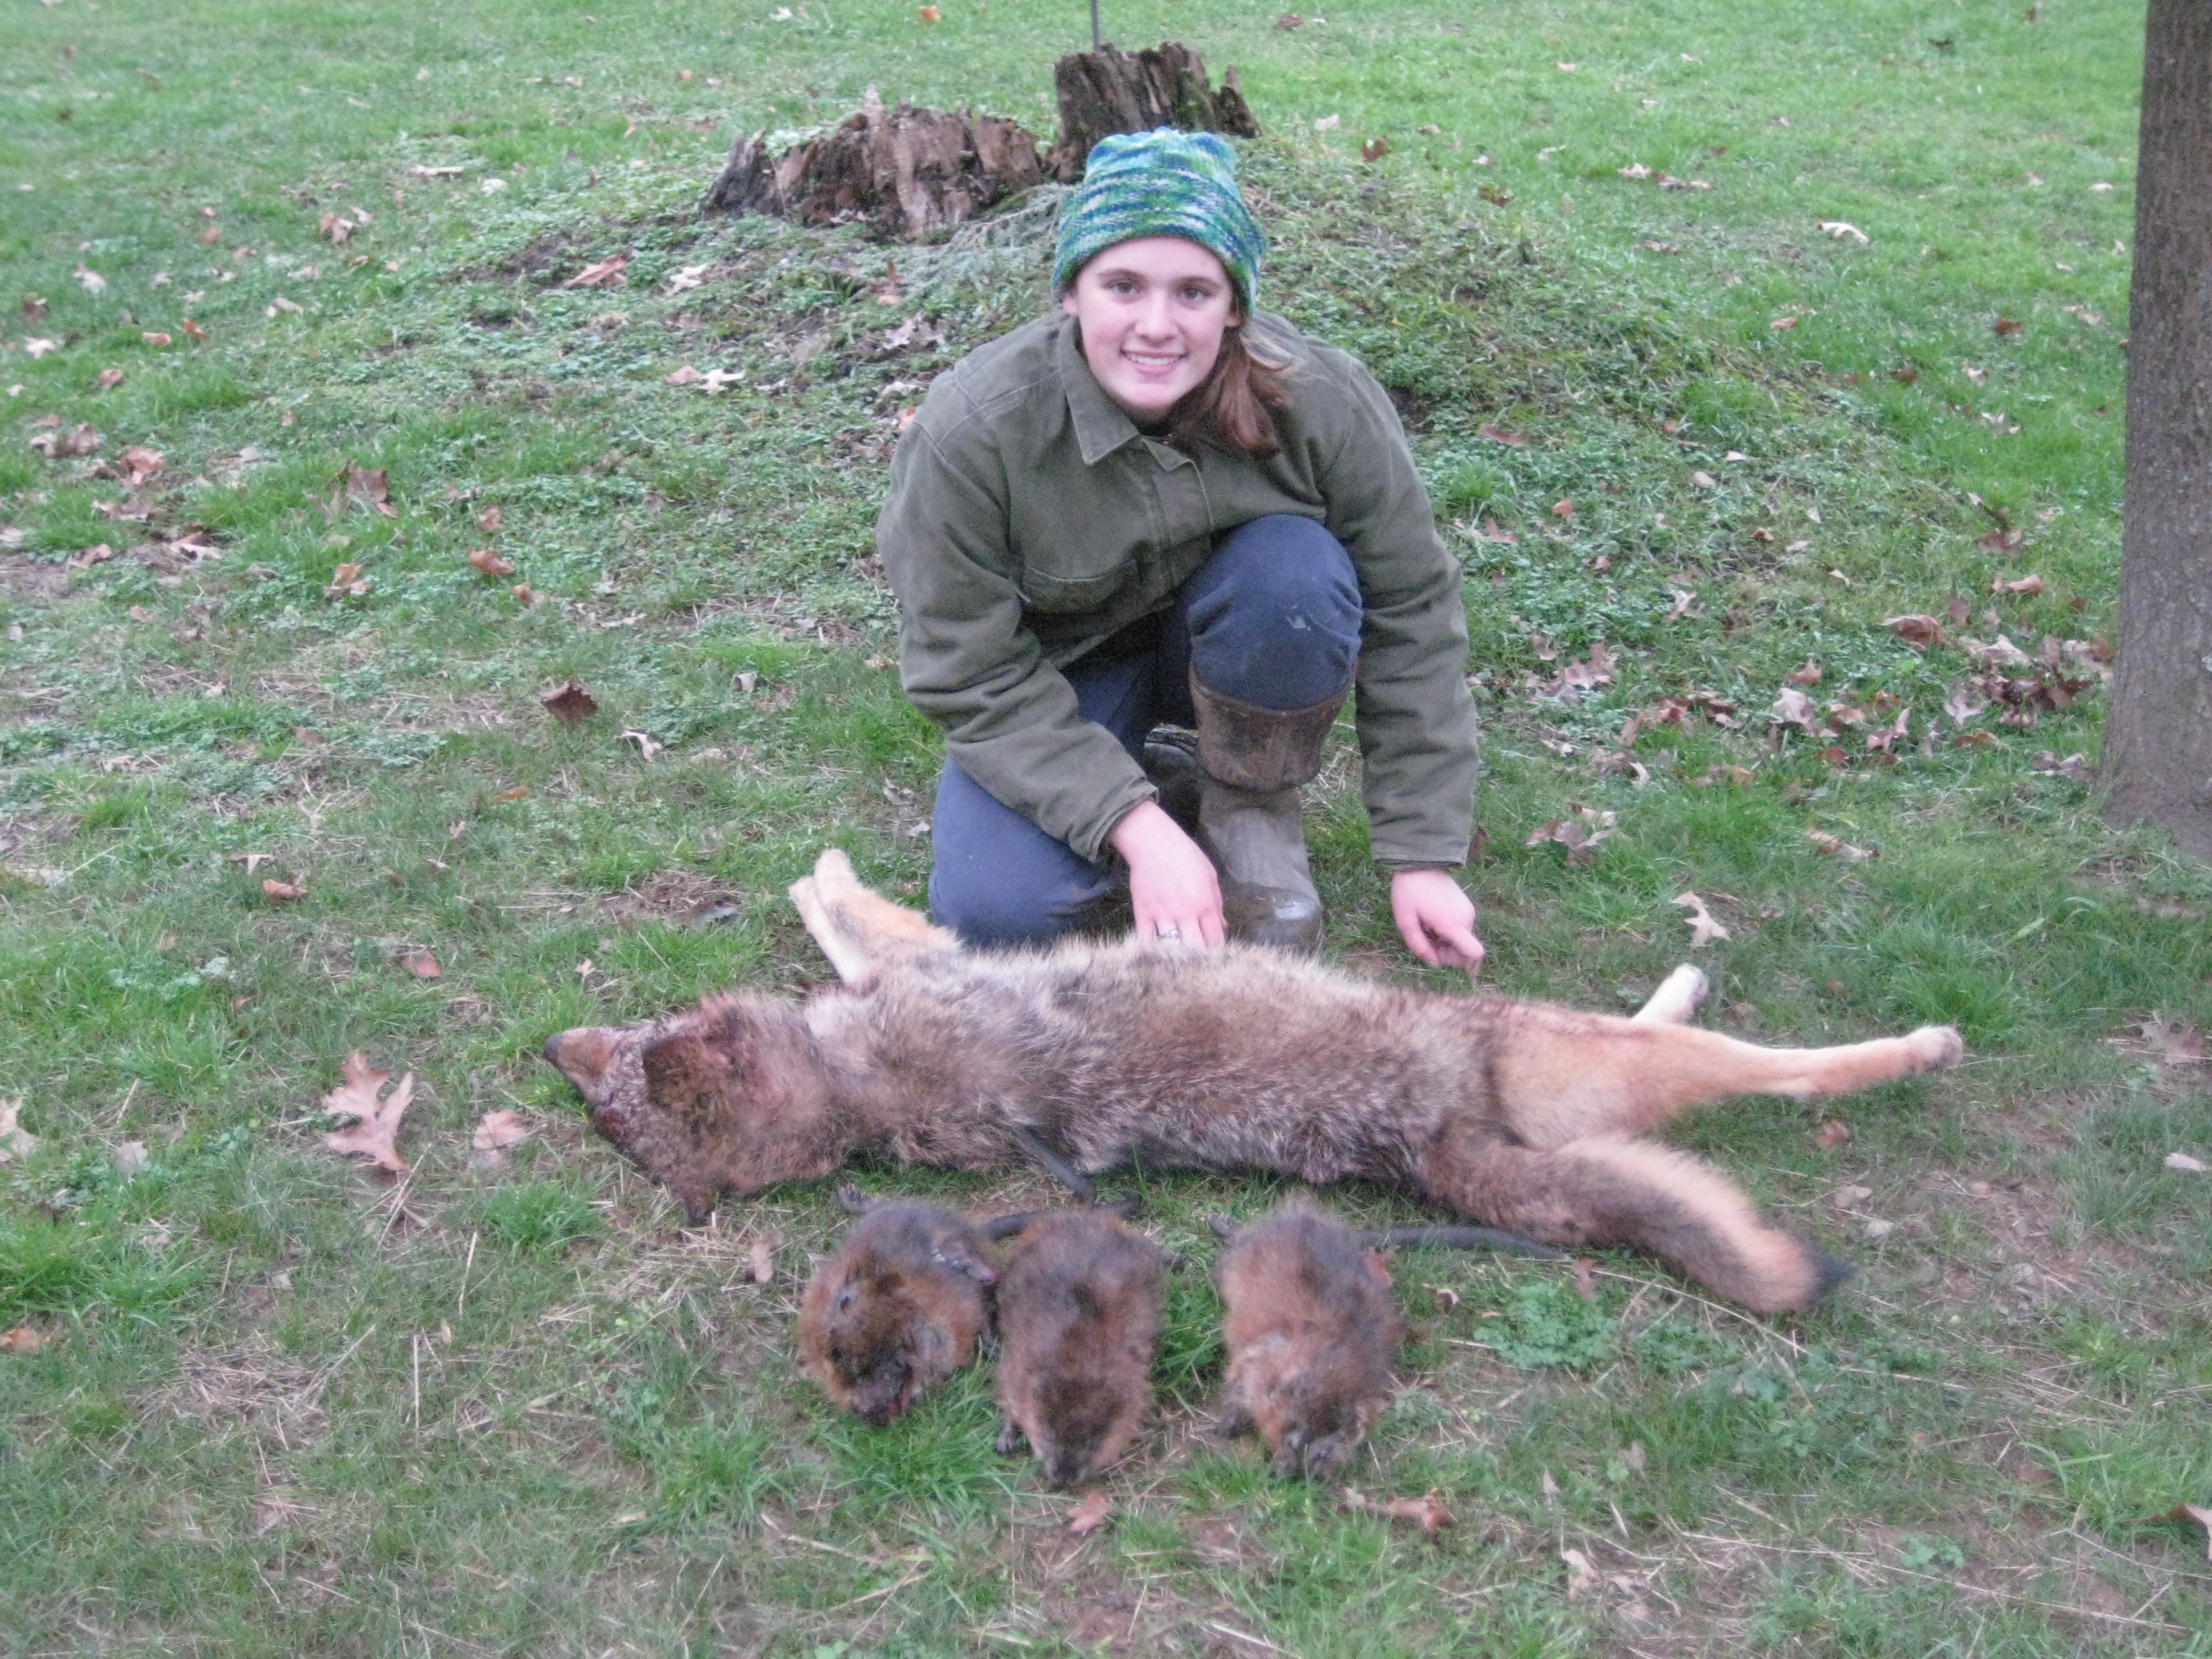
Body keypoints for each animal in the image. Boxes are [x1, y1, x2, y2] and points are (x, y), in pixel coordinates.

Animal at [544, 849, 1963, 1314]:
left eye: (651, 1025)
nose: (576, 1046)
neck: (854, 1092)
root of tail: (1425, 1141)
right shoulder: (927, 965)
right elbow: (846, 906)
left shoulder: (903, 971)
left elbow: (833, 919)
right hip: (1575, 1047)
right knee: (1781, 1073)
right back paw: (1913, 1044)